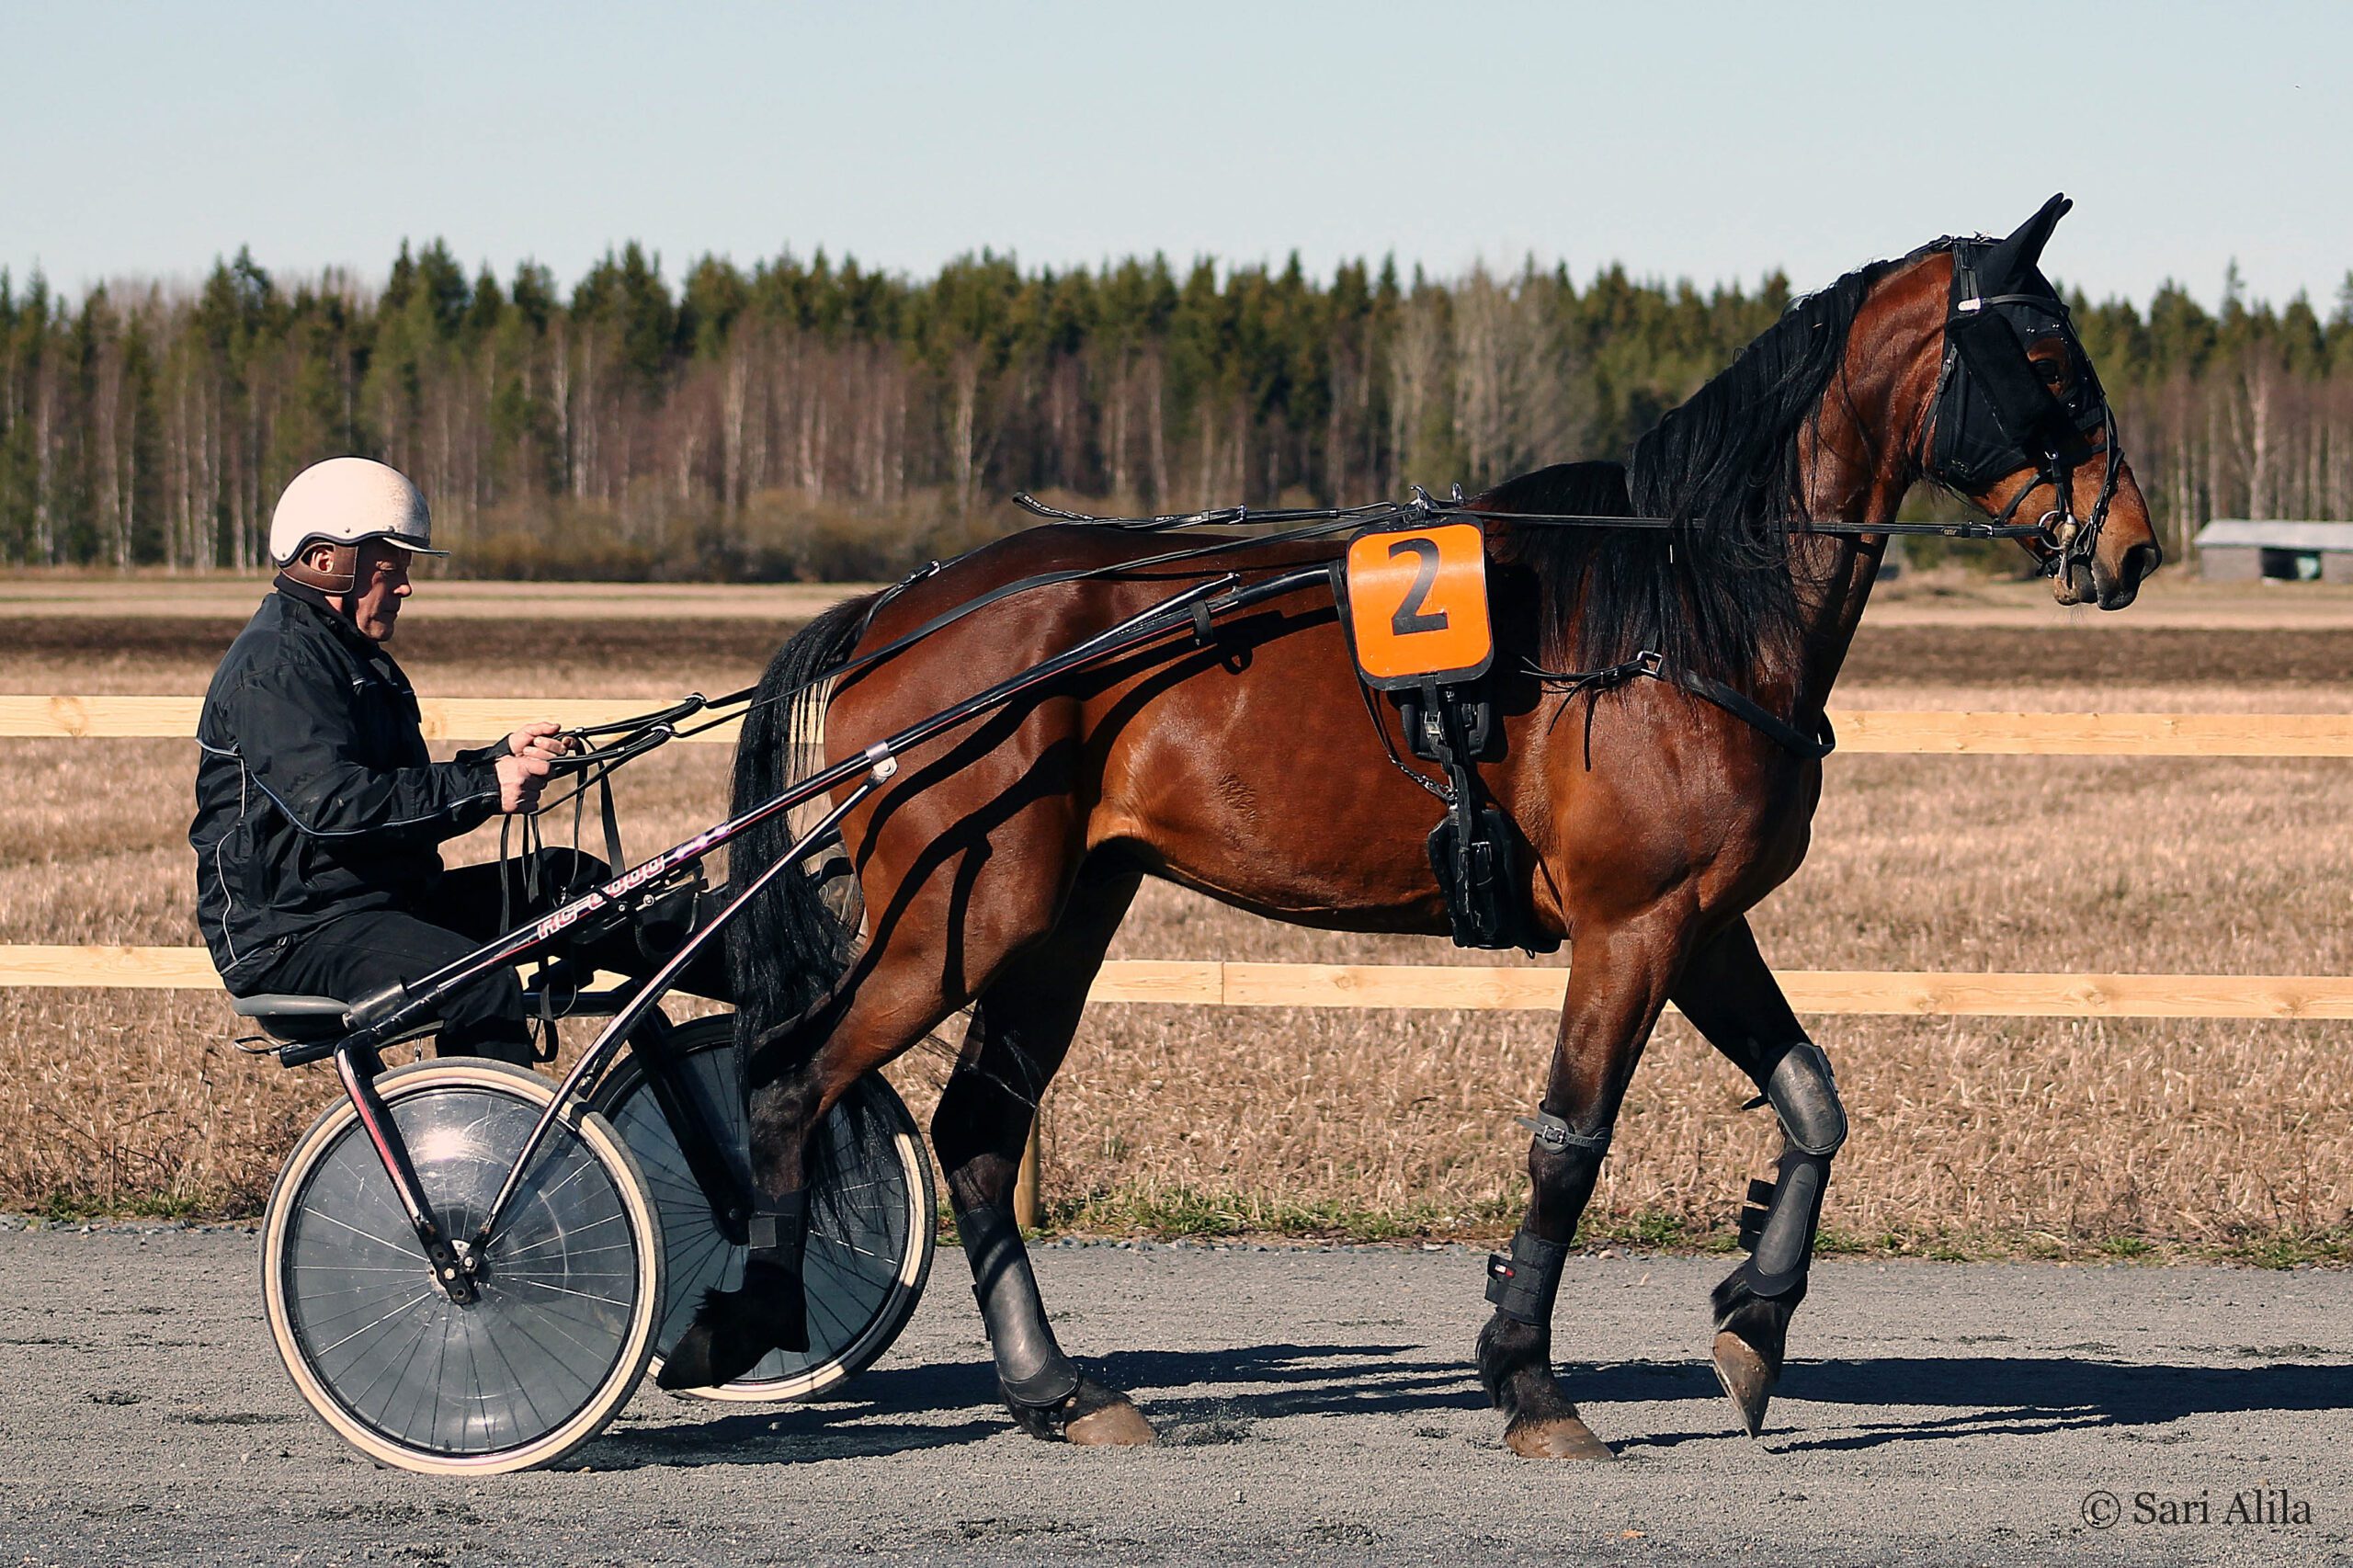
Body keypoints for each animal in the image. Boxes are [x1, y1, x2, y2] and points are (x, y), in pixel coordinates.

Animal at [661, 195, 2162, 1459]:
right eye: (2051, 357)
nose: (2134, 544)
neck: (1677, 610)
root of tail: (903, 607)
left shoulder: (1697, 917)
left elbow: (1812, 1101)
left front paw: (1753, 1316)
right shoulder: (1632, 921)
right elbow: (1571, 1142)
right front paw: (1531, 1380)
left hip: (1059, 911)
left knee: (975, 1126)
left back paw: (1057, 1388)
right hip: (955, 913)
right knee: (793, 1076)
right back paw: (749, 1313)